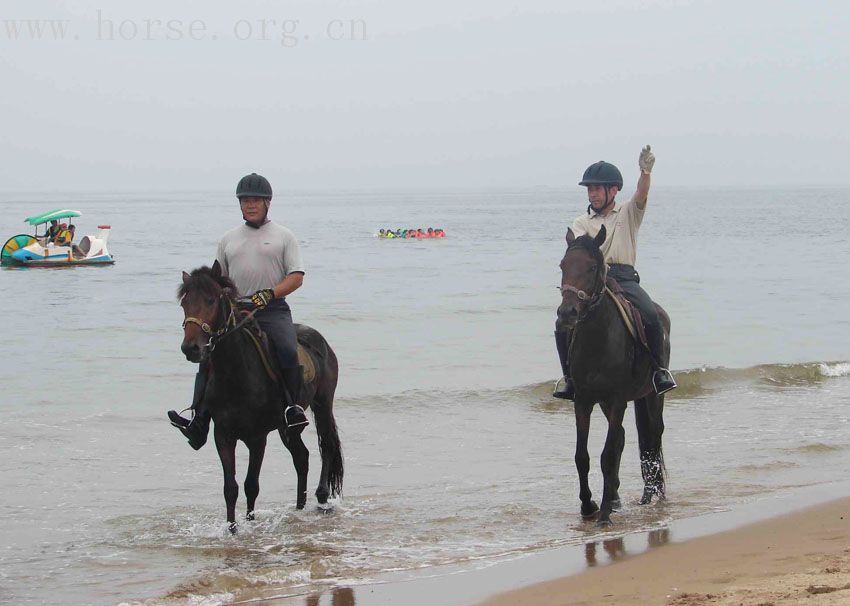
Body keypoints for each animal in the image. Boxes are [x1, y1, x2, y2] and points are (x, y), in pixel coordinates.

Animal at [178, 262, 342, 532]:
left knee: (326, 445)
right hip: (287, 428)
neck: (236, 374)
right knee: (302, 457)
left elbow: (250, 485)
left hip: (322, 404)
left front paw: (250, 523)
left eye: (211, 300)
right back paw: (299, 507)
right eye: (184, 302)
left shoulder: (257, 438)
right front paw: (232, 529)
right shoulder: (223, 435)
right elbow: (231, 488)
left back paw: (321, 497)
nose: (191, 349)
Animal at [556, 227, 668, 528]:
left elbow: (607, 455)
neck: (598, 339)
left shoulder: (618, 400)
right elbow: (582, 456)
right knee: (623, 438)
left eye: (592, 267)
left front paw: (604, 514)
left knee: (654, 435)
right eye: (563, 266)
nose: (566, 313)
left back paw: (652, 495)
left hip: (652, 395)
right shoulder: (583, 400)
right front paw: (588, 506)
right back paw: (617, 498)